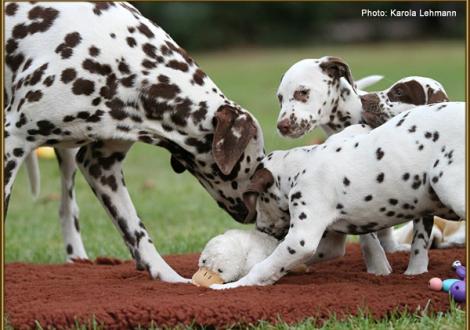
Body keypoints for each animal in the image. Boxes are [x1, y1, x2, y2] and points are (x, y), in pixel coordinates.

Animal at [5, 1, 268, 282]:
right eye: (256, 162)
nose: (256, 214)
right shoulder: (13, 143)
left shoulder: (100, 165)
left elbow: (136, 230)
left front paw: (169, 278)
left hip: (68, 156)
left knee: (67, 208)